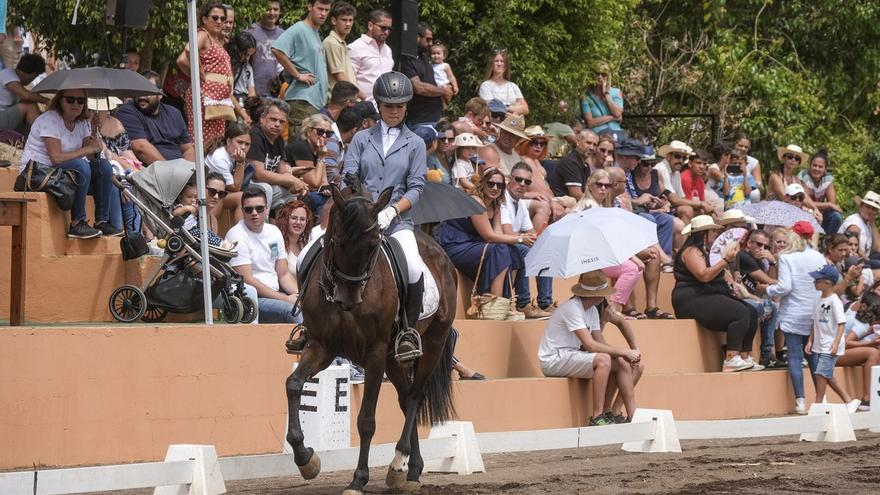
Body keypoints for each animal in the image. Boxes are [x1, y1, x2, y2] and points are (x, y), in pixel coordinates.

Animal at [284, 184, 460, 494]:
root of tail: (440, 253)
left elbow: (366, 420)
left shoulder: (375, 354)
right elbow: (294, 385)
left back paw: (399, 463)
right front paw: (306, 460)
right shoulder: (322, 346)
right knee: (405, 398)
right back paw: (411, 470)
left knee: (415, 397)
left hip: (432, 344)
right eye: (336, 241)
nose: (348, 300)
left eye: (374, 245)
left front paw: (358, 479)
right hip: (393, 358)